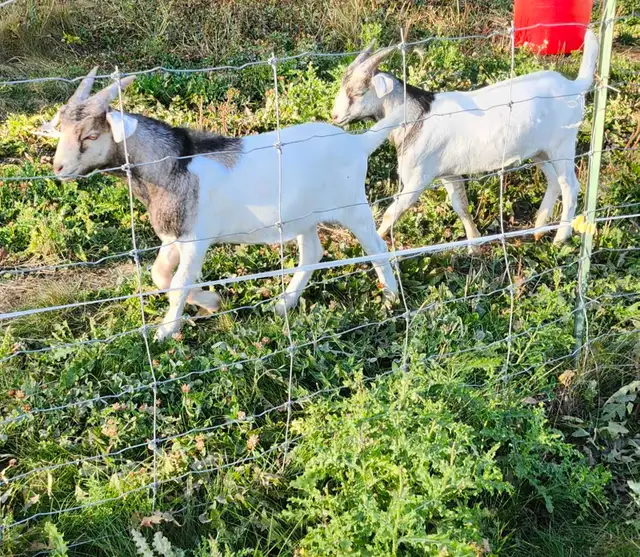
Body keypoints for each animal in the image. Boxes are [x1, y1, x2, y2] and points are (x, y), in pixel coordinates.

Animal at [44, 70, 401, 341]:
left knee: (377, 247)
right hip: (303, 216)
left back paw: (391, 299)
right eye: (61, 129)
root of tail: (358, 143)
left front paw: (165, 332)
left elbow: (180, 282)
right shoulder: (175, 236)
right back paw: (283, 304)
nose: (59, 167)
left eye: (90, 135)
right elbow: (160, 276)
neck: (174, 165)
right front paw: (211, 301)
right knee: (312, 252)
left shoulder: (196, 240)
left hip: (353, 206)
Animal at [331, 30, 599, 250]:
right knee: (554, 181)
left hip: (562, 145)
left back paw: (560, 237)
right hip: (539, 151)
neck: (417, 117)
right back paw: (539, 229)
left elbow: (392, 212)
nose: (335, 116)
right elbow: (461, 205)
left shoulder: (419, 177)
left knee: (570, 186)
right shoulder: (448, 173)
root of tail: (575, 86)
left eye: (357, 92)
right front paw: (474, 245)